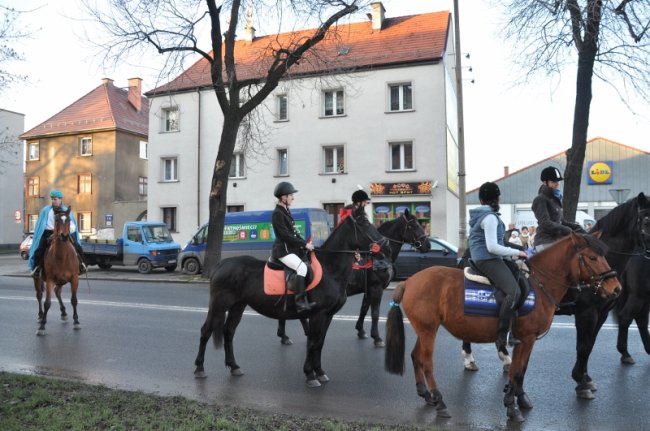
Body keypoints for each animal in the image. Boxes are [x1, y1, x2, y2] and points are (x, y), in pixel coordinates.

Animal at [34, 207, 81, 338]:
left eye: (69, 220)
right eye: (57, 220)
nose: (64, 236)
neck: (62, 257)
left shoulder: (74, 279)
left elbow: (74, 300)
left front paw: (76, 321)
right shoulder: (50, 279)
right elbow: (47, 303)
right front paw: (42, 326)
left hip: (61, 281)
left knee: (57, 292)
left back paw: (64, 313)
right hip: (37, 279)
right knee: (39, 295)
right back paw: (40, 315)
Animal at [191, 206, 384, 388]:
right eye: (364, 223)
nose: (384, 245)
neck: (330, 269)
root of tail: (221, 264)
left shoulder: (327, 315)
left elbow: (320, 342)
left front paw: (320, 372)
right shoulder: (318, 315)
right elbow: (313, 343)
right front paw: (310, 375)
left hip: (238, 306)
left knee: (229, 332)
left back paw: (234, 366)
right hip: (219, 305)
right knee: (206, 331)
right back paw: (199, 368)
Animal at [274, 209, 430, 348]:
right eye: (415, 225)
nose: (427, 246)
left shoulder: (368, 290)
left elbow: (364, 309)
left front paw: (361, 330)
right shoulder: (376, 288)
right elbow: (374, 313)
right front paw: (377, 338)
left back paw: (287, 335)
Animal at [382, 235, 620, 424]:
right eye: (592, 258)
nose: (616, 288)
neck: (540, 285)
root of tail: (409, 282)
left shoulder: (527, 340)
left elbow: (521, 370)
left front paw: (520, 399)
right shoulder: (526, 339)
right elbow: (515, 371)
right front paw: (511, 407)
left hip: (424, 329)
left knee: (416, 356)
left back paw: (426, 394)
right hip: (428, 331)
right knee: (427, 363)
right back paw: (440, 402)